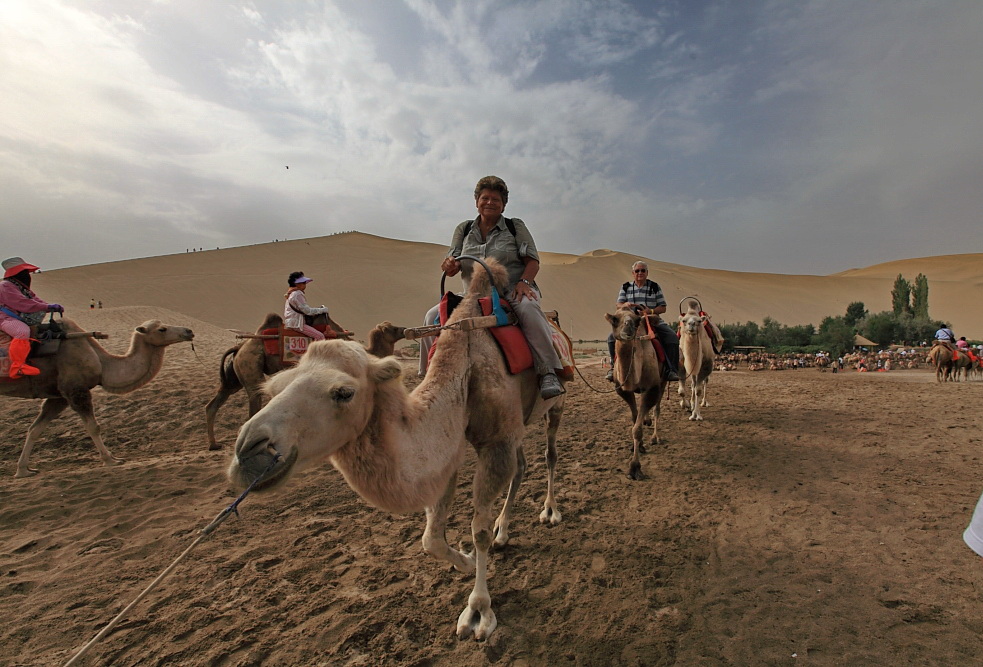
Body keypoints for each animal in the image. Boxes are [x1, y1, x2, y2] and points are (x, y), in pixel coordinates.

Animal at [206, 316, 406, 452]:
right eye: (392, 328)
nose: (404, 328)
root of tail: (239, 347)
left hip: (234, 375)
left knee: (214, 403)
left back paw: (214, 444)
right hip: (250, 365)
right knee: (253, 404)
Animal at [228, 260, 564, 640]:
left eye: (343, 392)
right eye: (275, 387)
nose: (248, 452)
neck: (466, 365)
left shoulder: (497, 443)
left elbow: (477, 529)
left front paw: (478, 609)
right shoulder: (452, 446)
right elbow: (431, 538)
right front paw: (463, 561)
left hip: (554, 405)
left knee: (550, 454)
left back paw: (550, 511)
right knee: (521, 468)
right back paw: (503, 532)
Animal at [604, 308, 664, 480]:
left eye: (637, 321)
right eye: (615, 319)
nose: (628, 329)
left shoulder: (652, 388)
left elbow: (636, 430)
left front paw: (635, 468)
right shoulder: (624, 390)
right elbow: (634, 419)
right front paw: (638, 446)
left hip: (664, 380)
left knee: (657, 408)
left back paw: (655, 437)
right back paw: (647, 421)